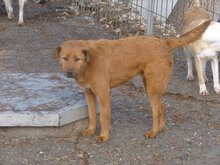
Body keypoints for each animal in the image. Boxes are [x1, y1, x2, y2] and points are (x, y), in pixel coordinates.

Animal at [54, 20, 211, 142]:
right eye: (65, 58)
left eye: (77, 59)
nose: (69, 72)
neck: (89, 63)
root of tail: (165, 42)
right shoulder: (89, 94)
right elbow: (92, 115)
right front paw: (91, 130)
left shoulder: (104, 94)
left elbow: (104, 117)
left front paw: (104, 136)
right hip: (150, 85)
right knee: (161, 107)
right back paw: (160, 129)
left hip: (152, 87)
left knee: (156, 111)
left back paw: (153, 132)